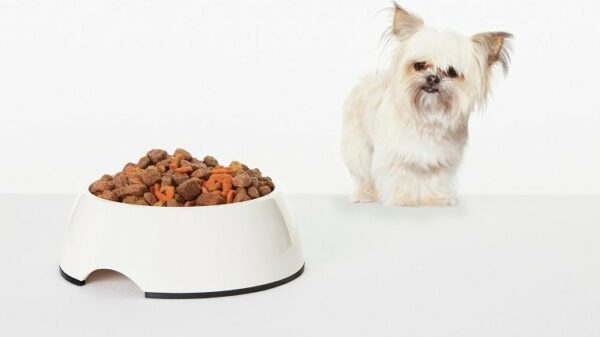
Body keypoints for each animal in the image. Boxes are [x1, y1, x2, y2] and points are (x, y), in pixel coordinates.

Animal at [342, 3, 510, 206]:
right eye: (419, 65)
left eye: (451, 72)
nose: (433, 78)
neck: (428, 115)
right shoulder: (395, 155)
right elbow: (400, 176)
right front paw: (404, 199)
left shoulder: (439, 160)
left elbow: (433, 179)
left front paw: (434, 198)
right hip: (360, 150)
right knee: (363, 176)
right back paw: (364, 195)